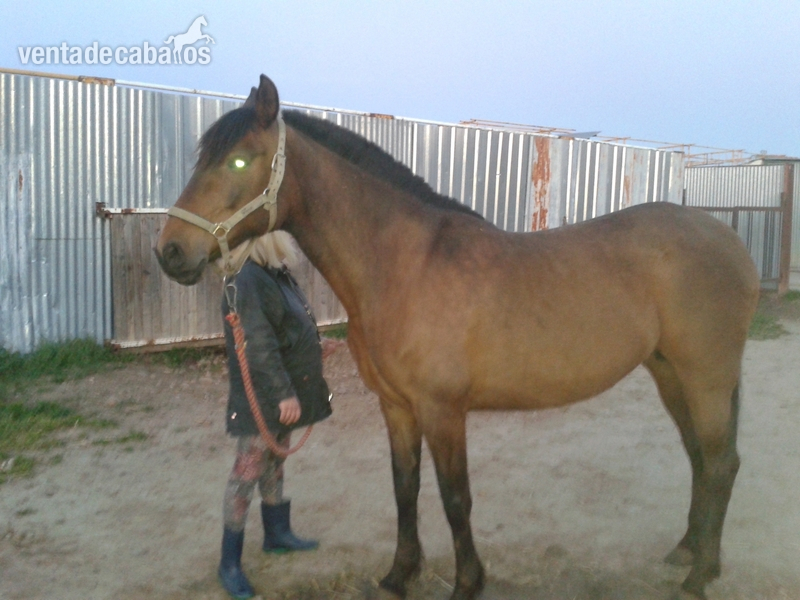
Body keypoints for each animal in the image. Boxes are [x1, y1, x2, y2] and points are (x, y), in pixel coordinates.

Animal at [155, 75, 759, 600]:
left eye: (238, 159)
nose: (170, 252)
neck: (404, 265)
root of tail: (729, 239)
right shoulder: (397, 407)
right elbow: (405, 490)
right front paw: (399, 576)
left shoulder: (442, 409)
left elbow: (455, 498)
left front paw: (468, 583)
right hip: (669, 373)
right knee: (700, 458)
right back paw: (688, 552)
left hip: (706, 378)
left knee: (719, 462)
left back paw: (700, 576)